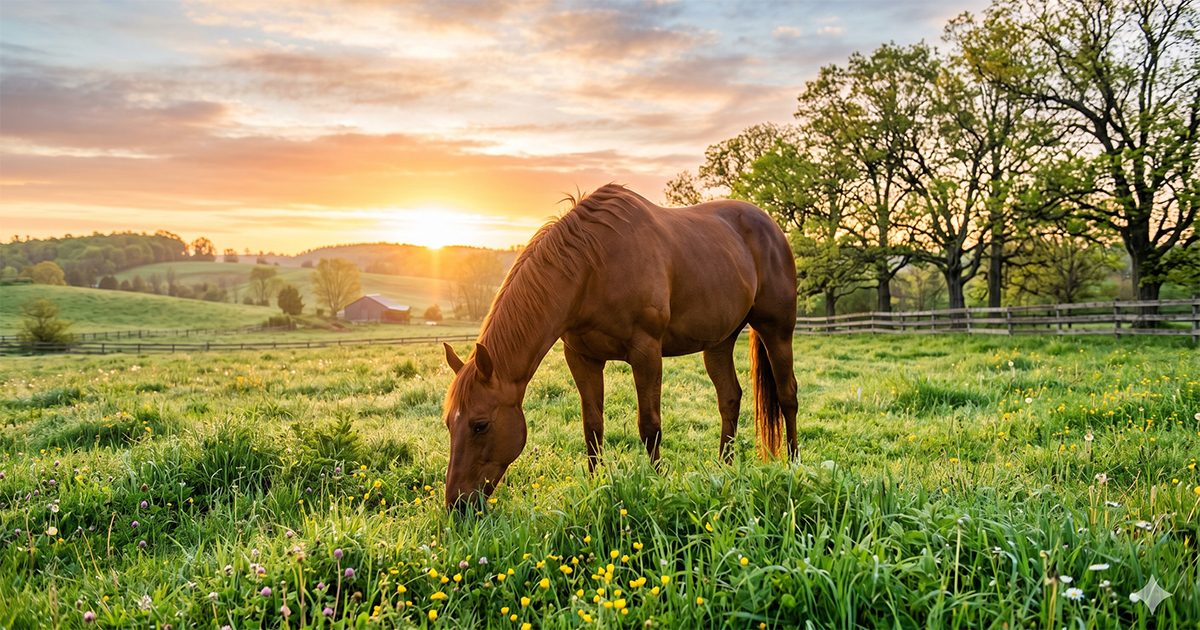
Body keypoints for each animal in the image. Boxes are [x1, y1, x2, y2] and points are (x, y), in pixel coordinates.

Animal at [441, 184, 798, 510]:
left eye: (480, 425)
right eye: (448, 423)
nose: (457, 504)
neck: (592, 267)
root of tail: (771, 227)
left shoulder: (646, 352)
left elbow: (650, 425)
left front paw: (656, 485)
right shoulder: (581, 357)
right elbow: (592, 426)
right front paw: (595, 485)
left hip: (777, 331)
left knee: (787, 395)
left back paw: (793, 465)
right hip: (719, 342)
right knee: (730, 398)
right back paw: (725, 470)